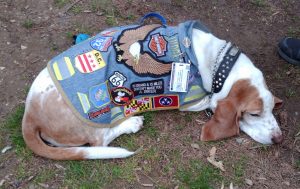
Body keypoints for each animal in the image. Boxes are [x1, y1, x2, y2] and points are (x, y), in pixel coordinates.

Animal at [22, 17, 282, 160]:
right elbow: (209, 102)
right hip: (97, 118)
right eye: (253, 114)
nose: (279, 139)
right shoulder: (193, 100)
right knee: (100, 141)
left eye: (271, 109)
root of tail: (29, 115)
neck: (219, 62)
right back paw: (131, 123)